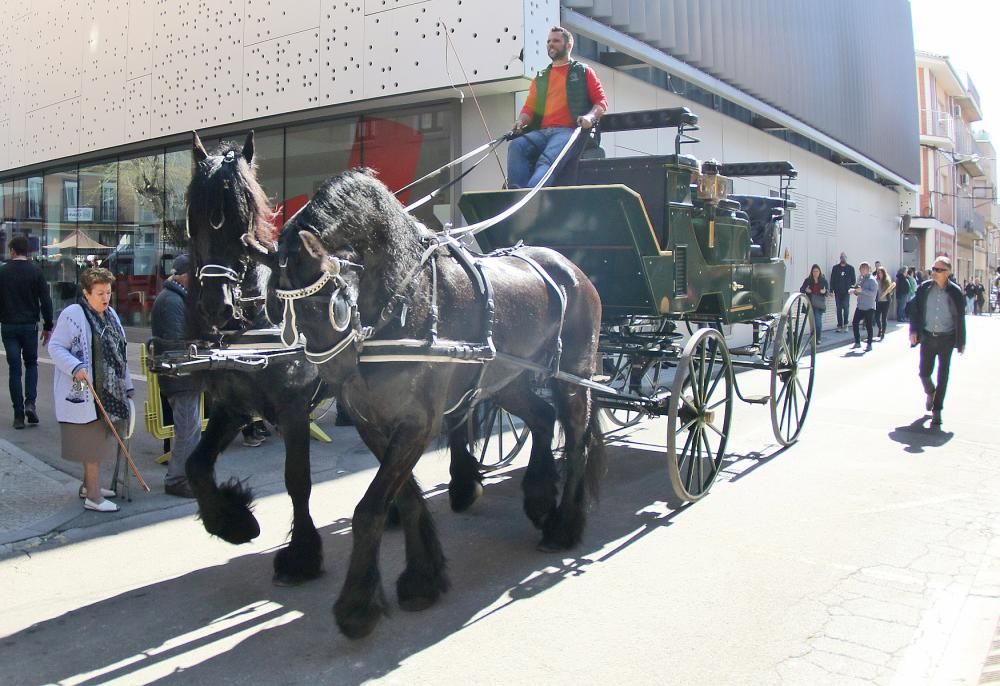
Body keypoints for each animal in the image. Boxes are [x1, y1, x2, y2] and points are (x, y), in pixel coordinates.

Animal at [270, 167, 604, 640]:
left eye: (329, 304)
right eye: (281, 312)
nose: (332, 376)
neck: (403, 303)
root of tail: (568, 265)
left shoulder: (418, 423)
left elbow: (369, 508)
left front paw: (358, 606)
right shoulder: (375, 421)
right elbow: (405, 496)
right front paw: (423, 579)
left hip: (573, 373)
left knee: (575, 440)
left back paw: (563, 526)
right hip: (506, 379)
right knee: (542, 417)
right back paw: (540, 498)